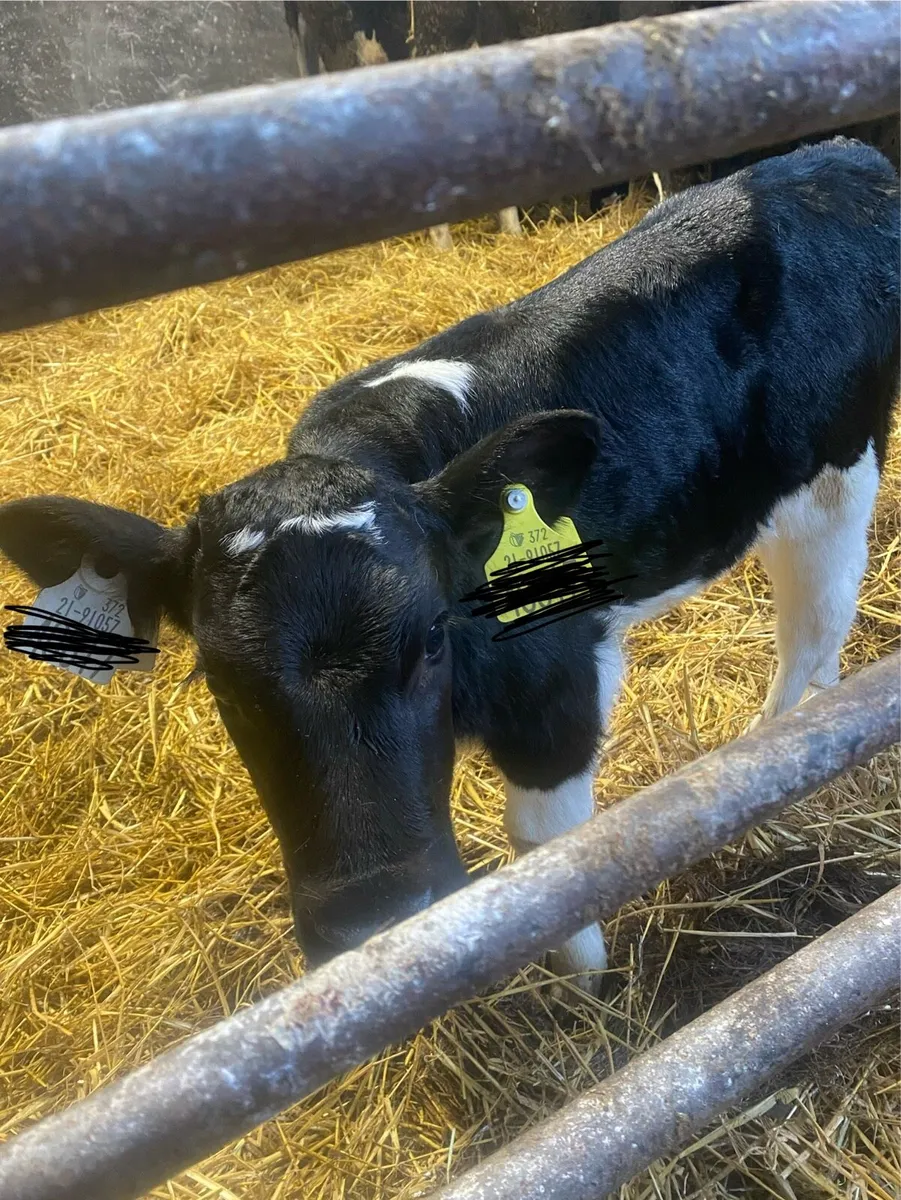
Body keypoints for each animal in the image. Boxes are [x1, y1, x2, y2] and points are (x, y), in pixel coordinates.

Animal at [1, 138, 898, 994]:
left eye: (431, 640)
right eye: (219, 684)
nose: (378, 918)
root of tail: (840, 159)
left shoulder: (554, 693)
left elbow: (546, 853)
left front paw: (585, 987)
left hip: (836, 472)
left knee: (812, 627)